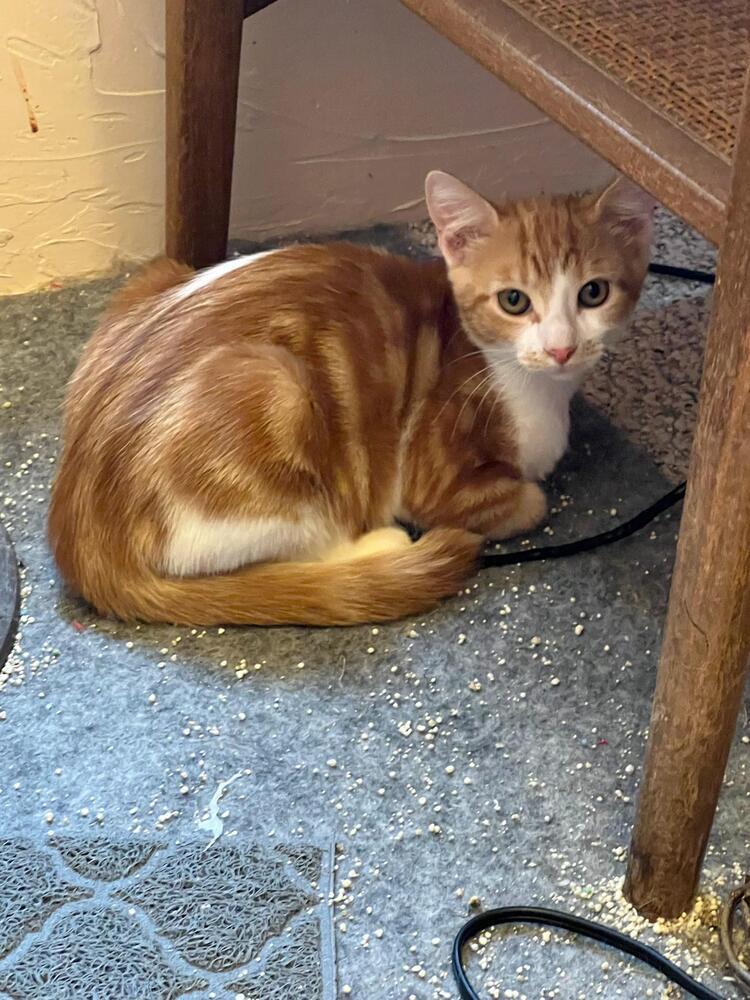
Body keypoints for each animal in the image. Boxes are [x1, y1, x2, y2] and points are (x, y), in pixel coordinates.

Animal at [50, 173, 656, 624]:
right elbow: (529, 500)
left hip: (156, 277)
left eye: (593, 293)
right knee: (295, 540)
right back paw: (377, 548)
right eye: (514, 301)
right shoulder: (437, 476)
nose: (561, 348)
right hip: (274, 394)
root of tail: (81, 537)